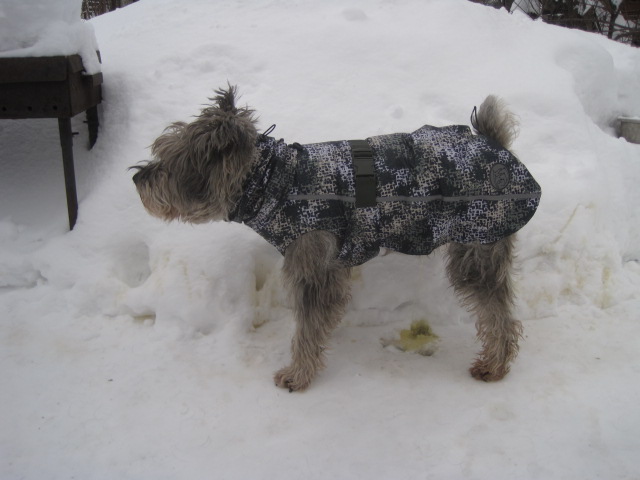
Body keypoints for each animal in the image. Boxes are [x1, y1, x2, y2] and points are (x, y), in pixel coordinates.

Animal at [132, 86, 541, 391]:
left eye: (170, 160)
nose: (138, 177)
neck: (274, 181)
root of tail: (497, 143)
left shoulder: (314, 271)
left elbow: (307, 328)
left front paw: (298, 374)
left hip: (477, 247)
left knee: (500, 318)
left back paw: (495, 365)